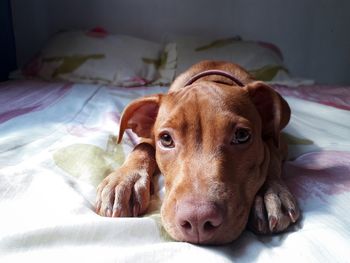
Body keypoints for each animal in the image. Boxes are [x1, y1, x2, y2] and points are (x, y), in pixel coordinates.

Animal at [95, 60, 300, 245]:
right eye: (166, 139)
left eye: (242, 135)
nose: (197, 219)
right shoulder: (149, 137)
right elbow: (142, 147)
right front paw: (123, 181)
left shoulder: (278, 140)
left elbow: (270, 157)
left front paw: (269, 194)